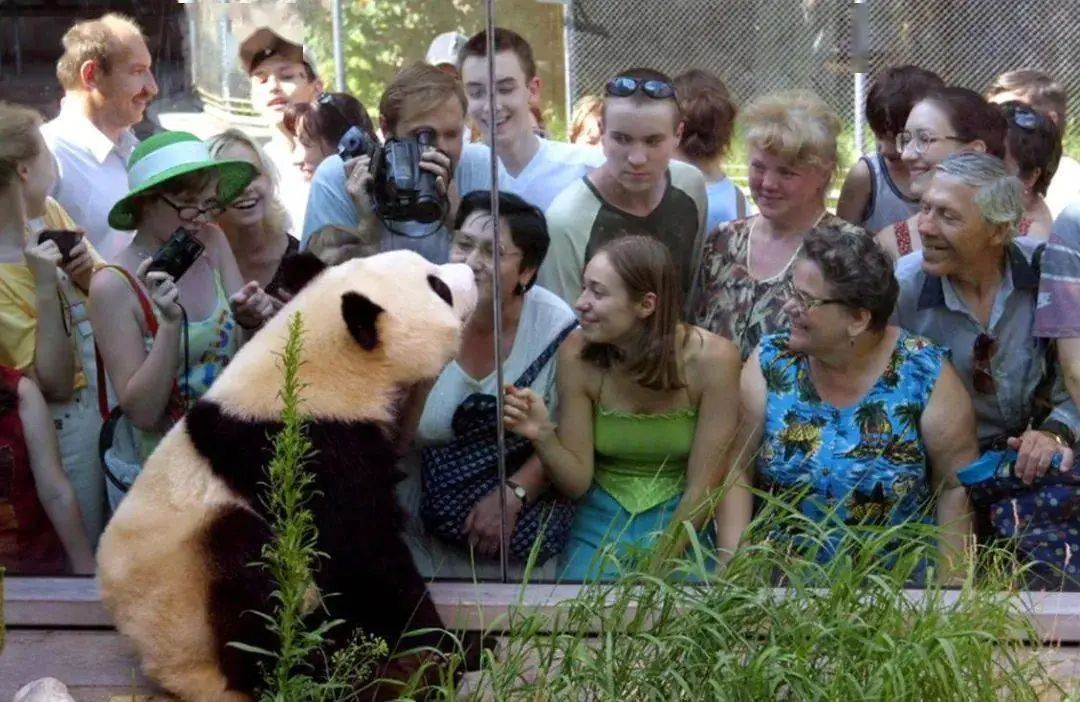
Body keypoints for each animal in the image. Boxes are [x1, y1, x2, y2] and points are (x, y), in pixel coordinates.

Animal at [93, 250, 481, 699]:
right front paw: (445, 644)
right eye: (439, 287)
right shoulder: (305, 449)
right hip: (189, 594)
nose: (472, 272)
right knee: (249, 578)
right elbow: (363, 554)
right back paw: (341, 672)